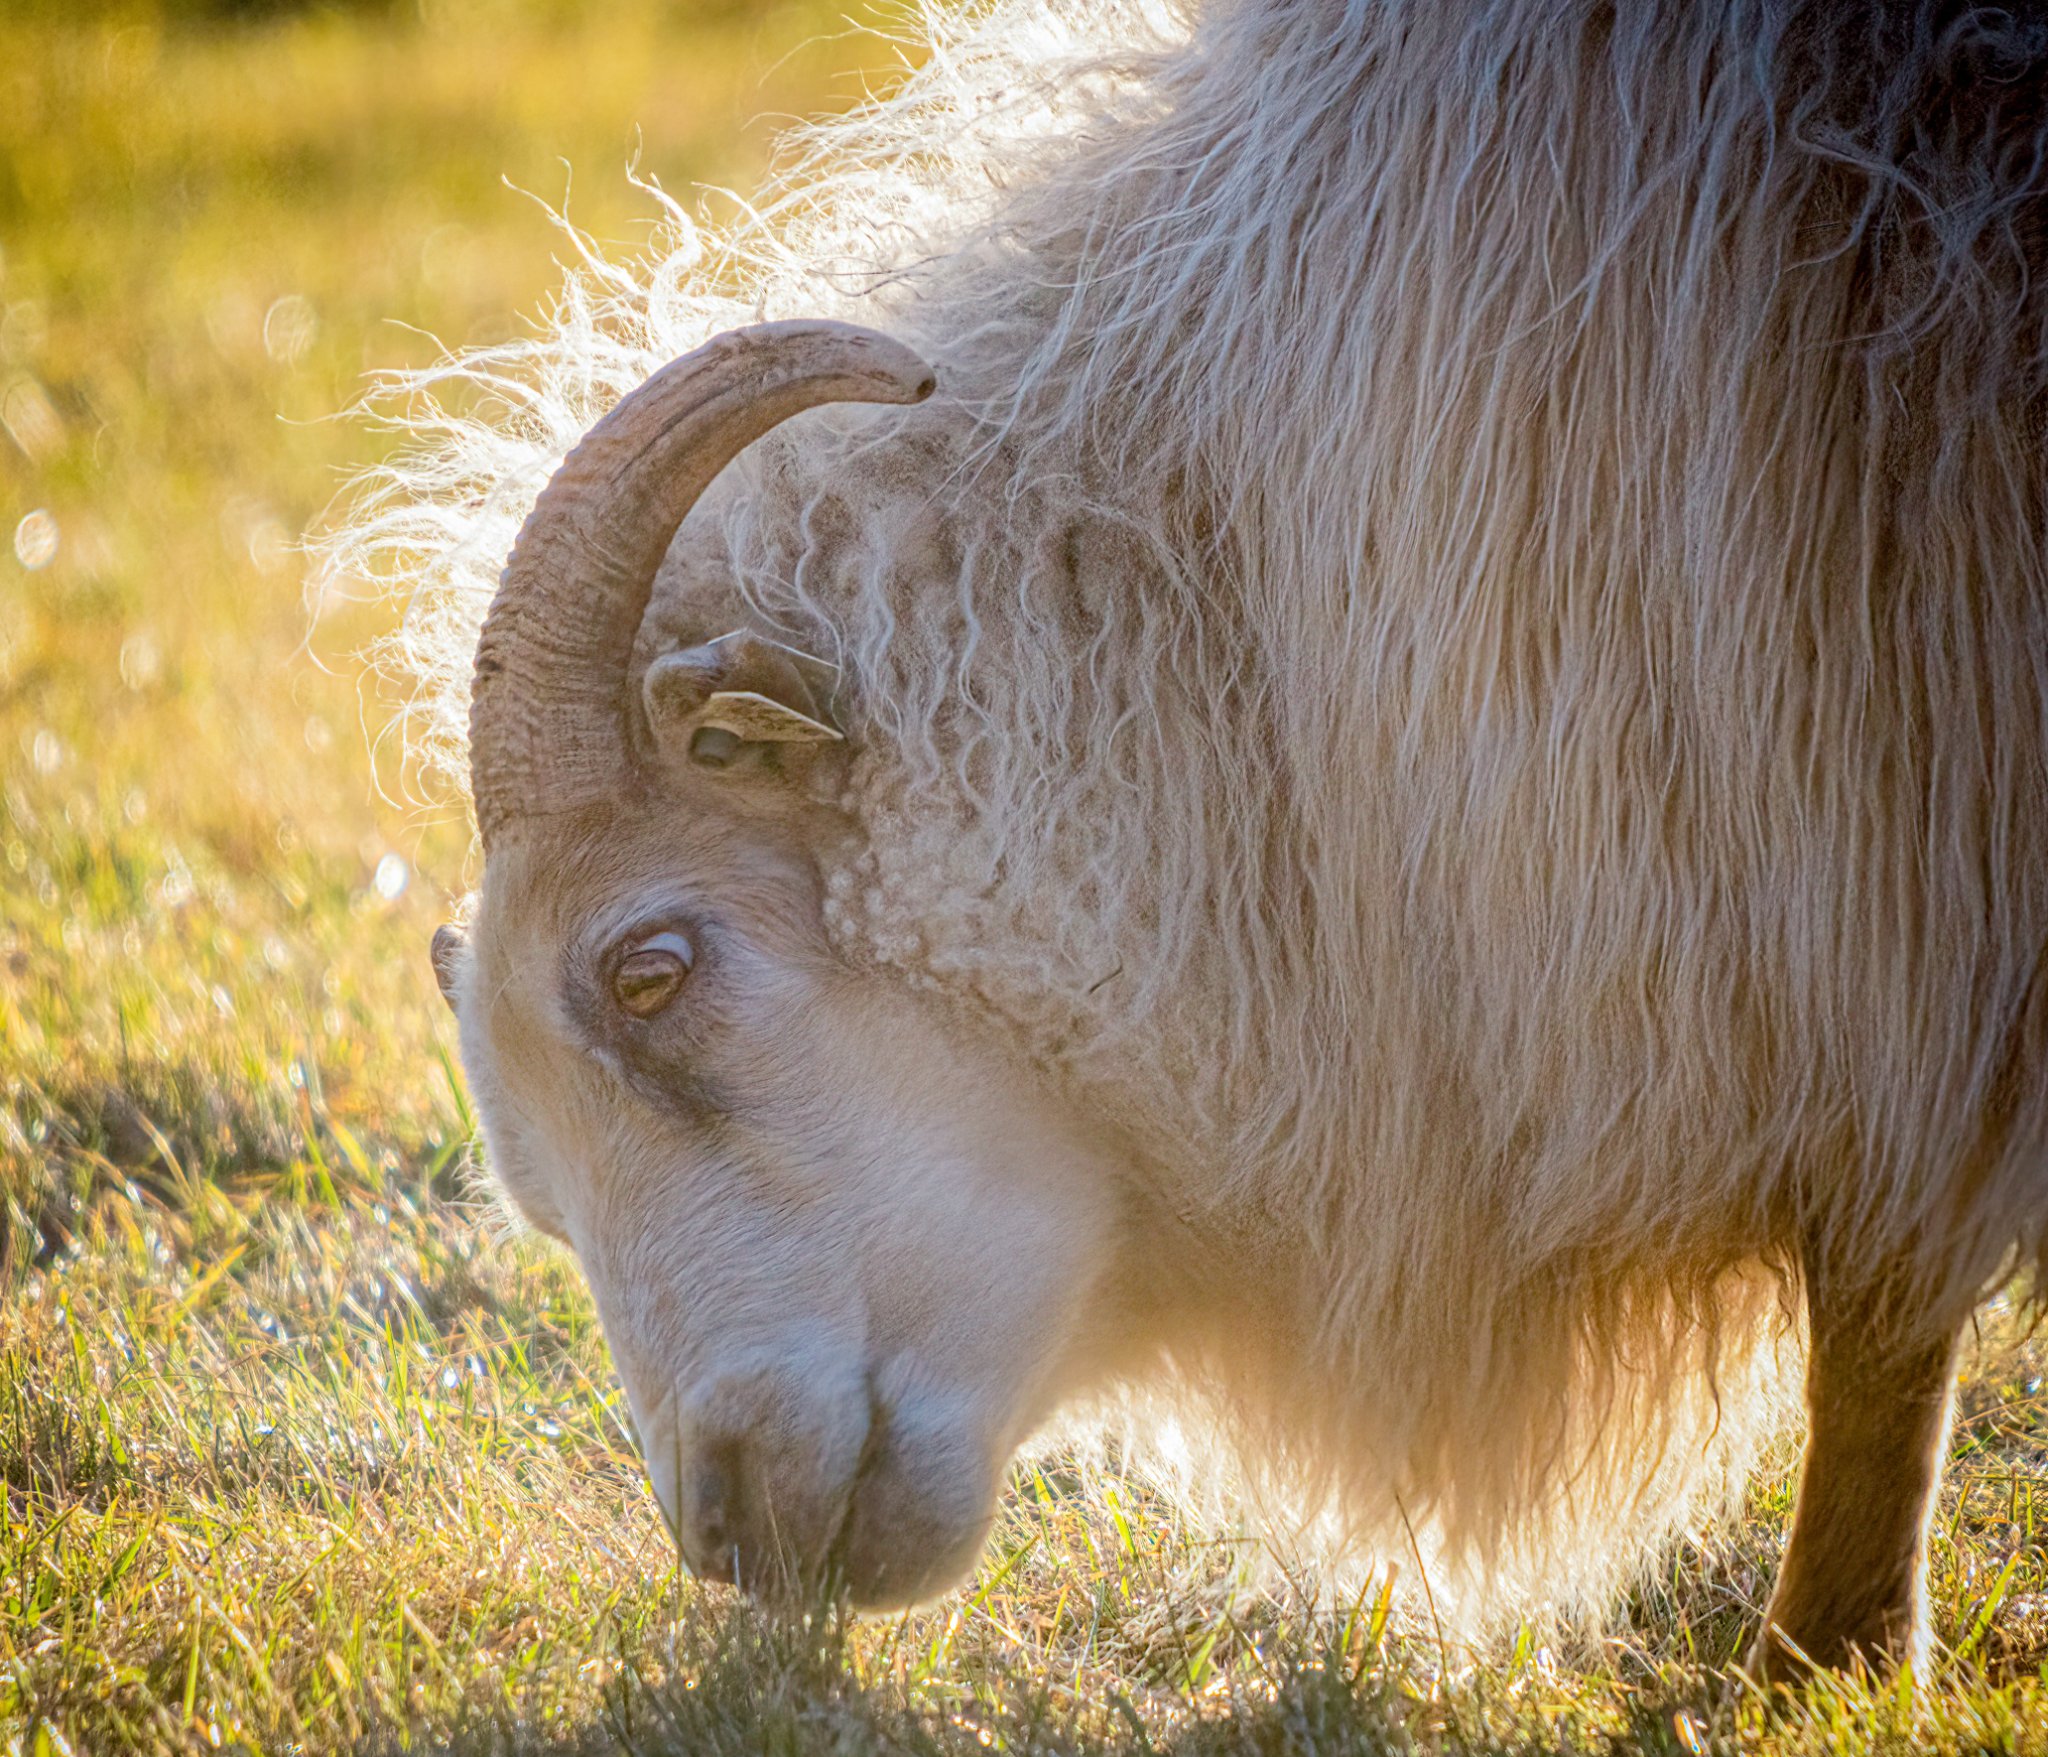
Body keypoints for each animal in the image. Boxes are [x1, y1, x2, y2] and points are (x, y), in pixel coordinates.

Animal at [324, 0, 2048, 1677]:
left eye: (649, 968)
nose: (732, 1536)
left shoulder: (1901, 905)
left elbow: (1879, 1298)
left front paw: (1822, 1659)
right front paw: (1839, 1648)